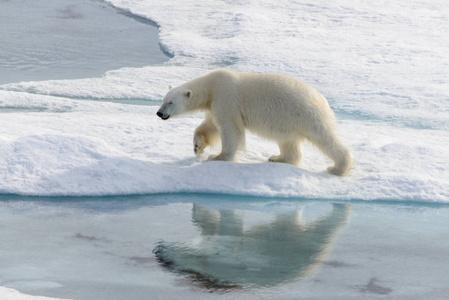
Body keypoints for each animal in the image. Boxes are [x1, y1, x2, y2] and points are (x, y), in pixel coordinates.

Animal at [158, 69, 354, 175]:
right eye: (163, 99)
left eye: (170, 102)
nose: (159, 113)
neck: (211, 87)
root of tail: (323, 100)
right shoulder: (214, 105)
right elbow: (210, 126)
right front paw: (198, 147)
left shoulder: (227, 98)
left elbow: (230, 129)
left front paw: (217, 157)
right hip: (288, 121)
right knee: (289, 142)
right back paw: (278, 158)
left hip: (306, 115)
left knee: (324, 138)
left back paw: (337, 168)